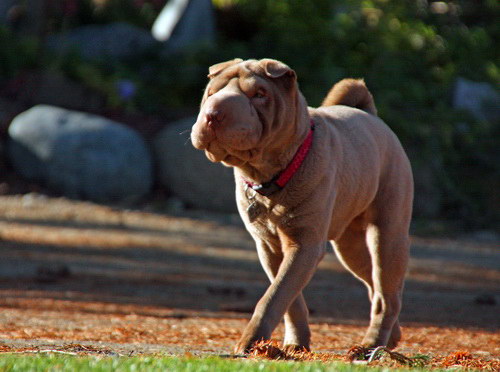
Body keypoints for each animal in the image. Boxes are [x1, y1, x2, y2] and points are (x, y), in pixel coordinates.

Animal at [189, 58, 412, 354]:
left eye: (259, 94)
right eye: (211, 92)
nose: (213, 113)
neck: (268, 176)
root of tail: (371, 116)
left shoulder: (304, 243)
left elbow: (275, 295)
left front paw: (250, 342)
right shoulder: (269, 247)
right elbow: (287, 296)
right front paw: (295, 344)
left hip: (387, 233)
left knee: (387, 289)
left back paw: (372, 344)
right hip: (349, 245)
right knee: (375, 284)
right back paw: (391, 337)